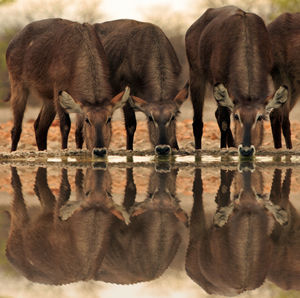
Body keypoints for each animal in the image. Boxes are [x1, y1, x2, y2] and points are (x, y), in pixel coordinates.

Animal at [6, 18, 129, 157]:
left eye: (109, 119)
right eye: (88, 120)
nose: (100, 150)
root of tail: (13, 41)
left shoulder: (78, 100)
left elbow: (79, 132)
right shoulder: (59, 90)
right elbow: (65, 126)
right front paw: (64, 151)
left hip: (48, 99)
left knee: (40, 127)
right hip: (18, 86)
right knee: (16, 128)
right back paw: (13, 152)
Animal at [185, 5, 288, 157]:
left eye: (260, 117)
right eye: (237, 117)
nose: (246, 149)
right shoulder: (218, 79)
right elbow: (224, 121)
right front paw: (223, 149)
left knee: (216, 114)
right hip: (196, 74)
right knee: (198, 121)